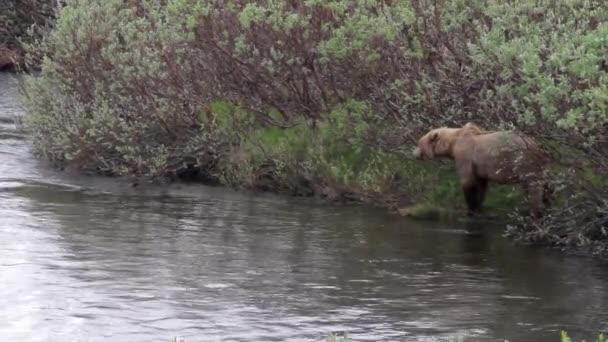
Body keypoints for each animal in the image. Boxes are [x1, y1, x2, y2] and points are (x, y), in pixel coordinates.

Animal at [414, 123, 552, 216]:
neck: (452, 144)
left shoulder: (465, 155)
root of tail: (536, 145)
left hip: (523, 161)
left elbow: (468, 182)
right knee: (544, 183)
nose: (414, 153)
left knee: (534, 185)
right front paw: (478, 207)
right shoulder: (480, 167)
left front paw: (471, 209)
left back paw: (536, 210)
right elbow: (481, 185)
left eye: (418, 143)